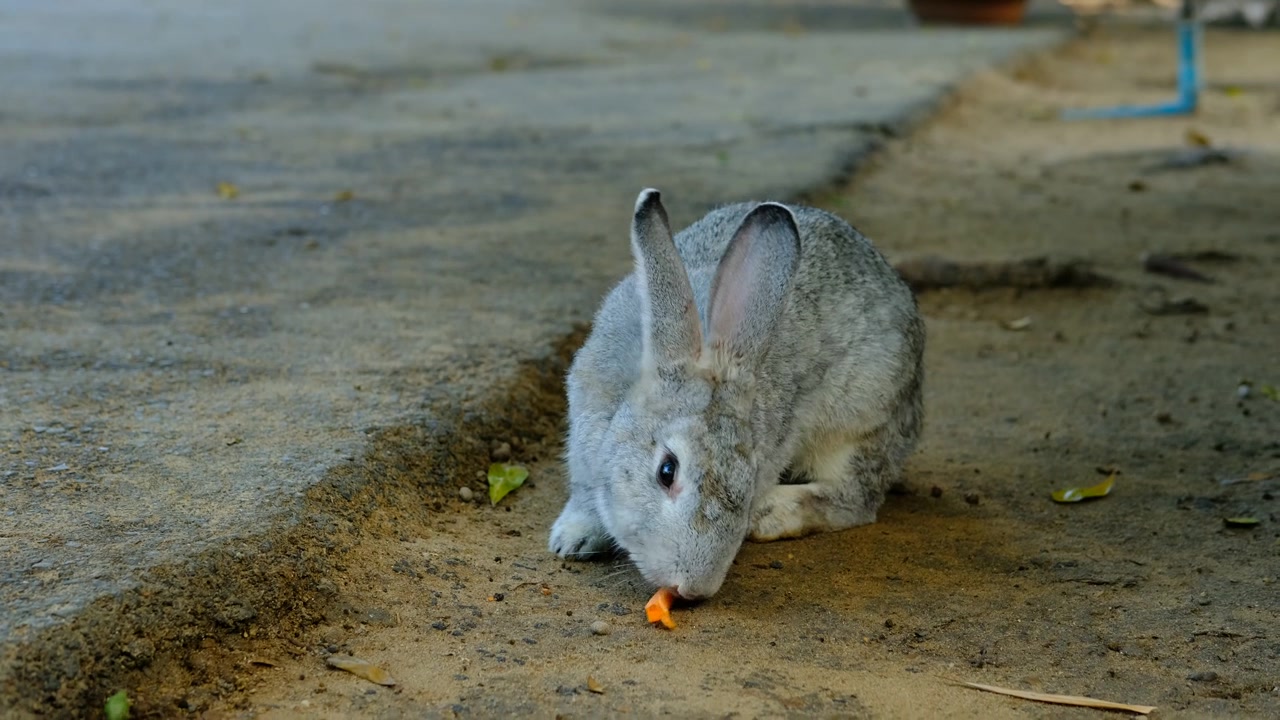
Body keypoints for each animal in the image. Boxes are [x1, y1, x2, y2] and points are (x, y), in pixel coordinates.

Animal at [547, 188, 921, 597]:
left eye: (750, 480)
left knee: (854, 499)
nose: (694, 588)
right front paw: (572, 541)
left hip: (860, 420)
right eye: (667, 471)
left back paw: (771, 515)